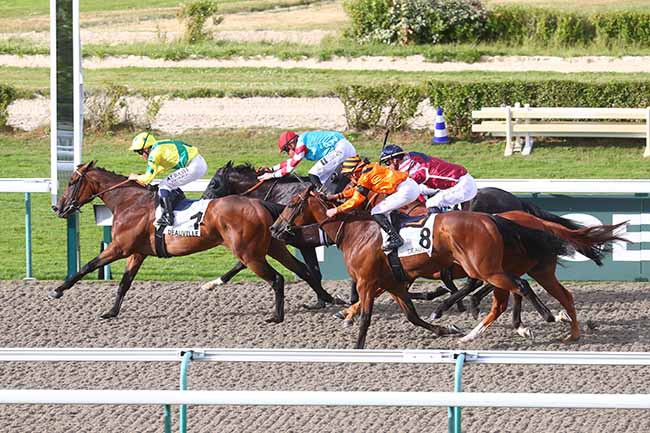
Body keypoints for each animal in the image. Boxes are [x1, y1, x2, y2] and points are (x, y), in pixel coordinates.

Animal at [49, 160, 334, 322]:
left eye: (72, 181)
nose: (58, 208)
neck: (129, 202)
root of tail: (259, 204)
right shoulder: (137, 252)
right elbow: (124, 283)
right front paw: (112, 312)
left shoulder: (120, 248)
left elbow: (87, 266)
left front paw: (58, 289)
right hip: (272, 246)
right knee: (303, 270)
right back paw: (328, 299)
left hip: (250, 254)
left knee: (277, 278)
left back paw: (277, 316)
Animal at [270, 186, 576, 348]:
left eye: (293, 203)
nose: (274, 228)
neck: (356, 231)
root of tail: (492, 219)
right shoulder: (393, 281)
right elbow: (412, 316)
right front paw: (444, 329)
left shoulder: (368, 281)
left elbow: (367, 316)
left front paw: (356, 343)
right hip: (490, 265)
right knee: (508, 289)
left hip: (484, 267)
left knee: (516, 285)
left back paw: (546, 315)